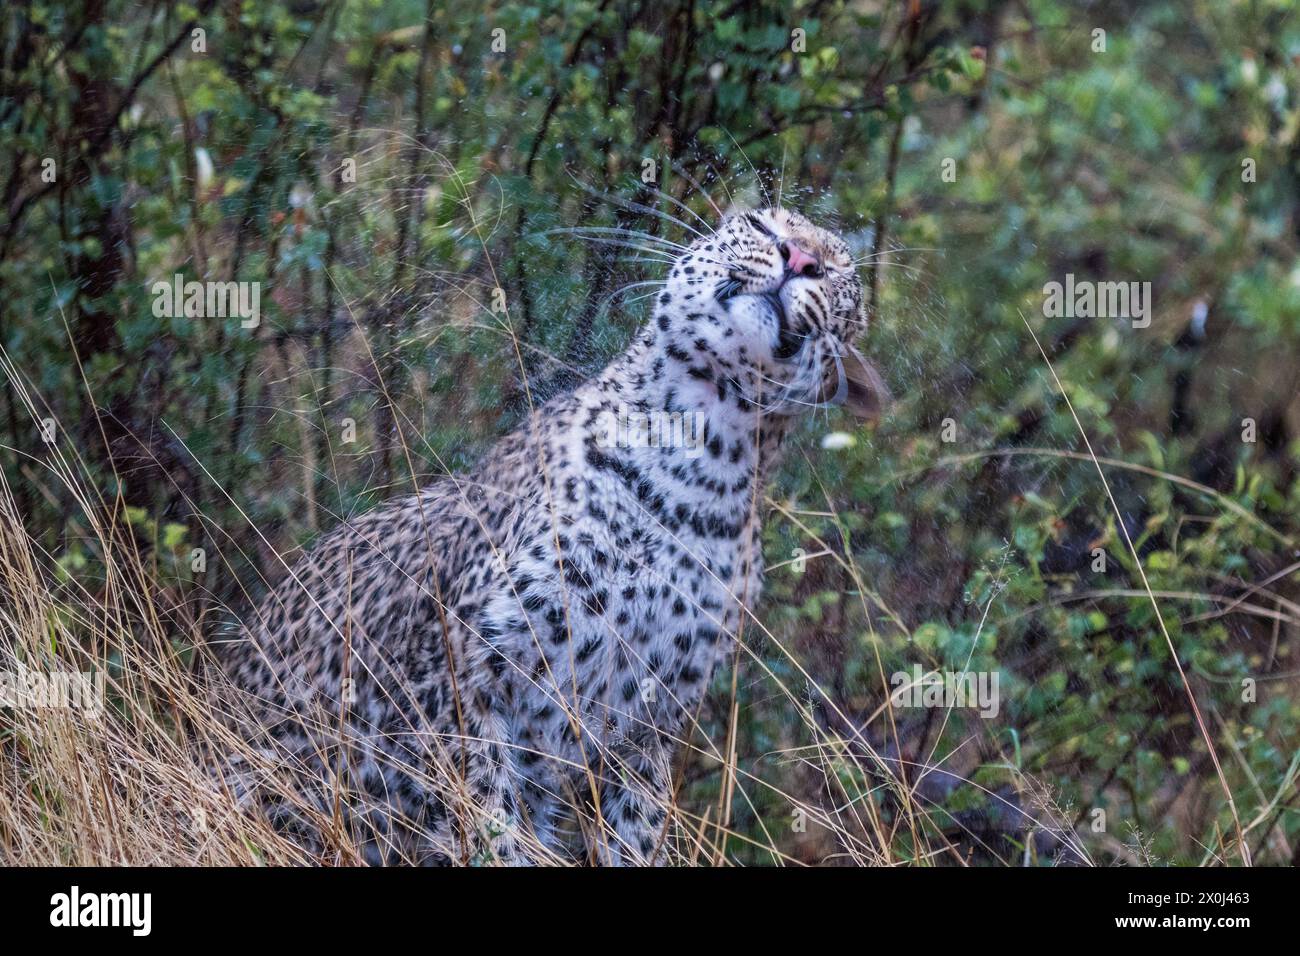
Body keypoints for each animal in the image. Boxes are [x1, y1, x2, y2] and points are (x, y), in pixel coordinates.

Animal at [215, 205, 894, 863]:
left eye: (840, 273)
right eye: (760, 225)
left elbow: (632, 836)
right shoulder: (463, 675)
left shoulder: (648, 723)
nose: (800, 258)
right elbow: (486, 818)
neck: (700, 461)